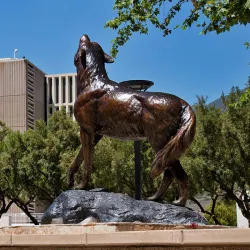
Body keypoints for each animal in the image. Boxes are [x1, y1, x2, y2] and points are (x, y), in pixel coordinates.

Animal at [69, 35, 196, 207]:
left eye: (83, 43)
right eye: (92, 44)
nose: (85, 35)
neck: (92, 79)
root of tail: (182, 102)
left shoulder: (86, 130)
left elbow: (87, 162)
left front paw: (82, 186)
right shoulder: (95, 135)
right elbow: (78, 159)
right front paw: (70, 181)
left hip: (159, 142)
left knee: (179, 174)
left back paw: (179, 202)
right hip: (165, 146)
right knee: (168, 174)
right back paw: (155, 198)